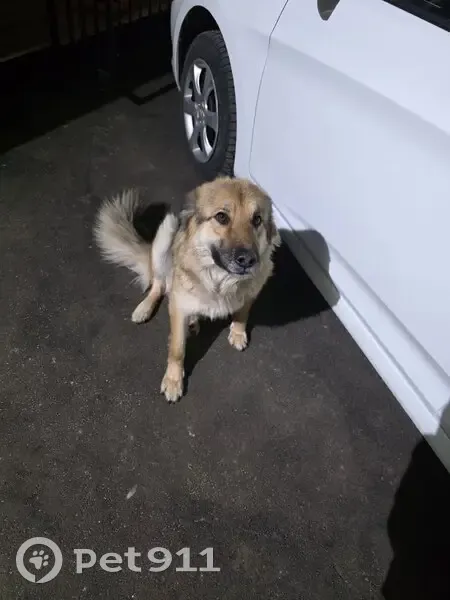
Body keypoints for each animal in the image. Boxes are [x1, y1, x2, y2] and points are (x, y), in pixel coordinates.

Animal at [93, 176, 281, 402]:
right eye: (221, 217)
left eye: (257, 220)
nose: (248, 260)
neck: (220, 281)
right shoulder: (179, 307)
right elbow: (177, 350)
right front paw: (174, 380)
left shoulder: (251, 293)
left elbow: (243, 312)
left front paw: (237, 332)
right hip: (166, 233)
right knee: (159, 285)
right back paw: (146, 308)